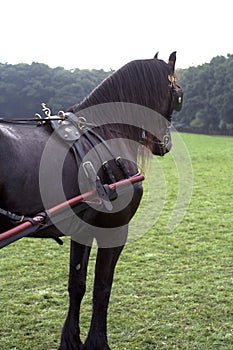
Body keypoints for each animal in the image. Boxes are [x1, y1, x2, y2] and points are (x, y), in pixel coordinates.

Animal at [0, 52, 182, 350]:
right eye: (178, 94)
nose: (165, 144)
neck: (107, 131)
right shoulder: (115, 229)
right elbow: (102, 286)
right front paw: (97, 341)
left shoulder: (82, 228)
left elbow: (77, 284)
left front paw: (71, 340)